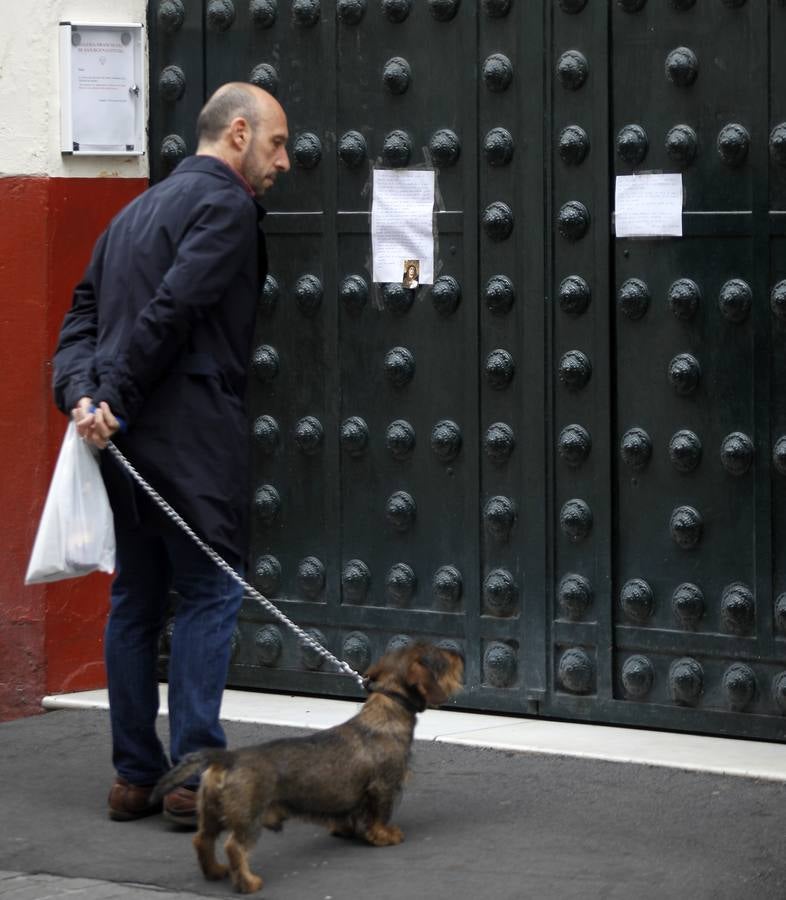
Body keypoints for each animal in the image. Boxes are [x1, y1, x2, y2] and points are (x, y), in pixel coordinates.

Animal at [150, 640, 462, 892]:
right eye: (440, 658)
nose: (460, 653)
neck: (386, 712)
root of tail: (228, 758)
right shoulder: (383, 787)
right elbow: (378, 817)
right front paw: (385, 836)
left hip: (211, 812)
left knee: (202, 840)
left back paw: (215, 871)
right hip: (249, 817)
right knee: (234, 847)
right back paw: (249, 883)